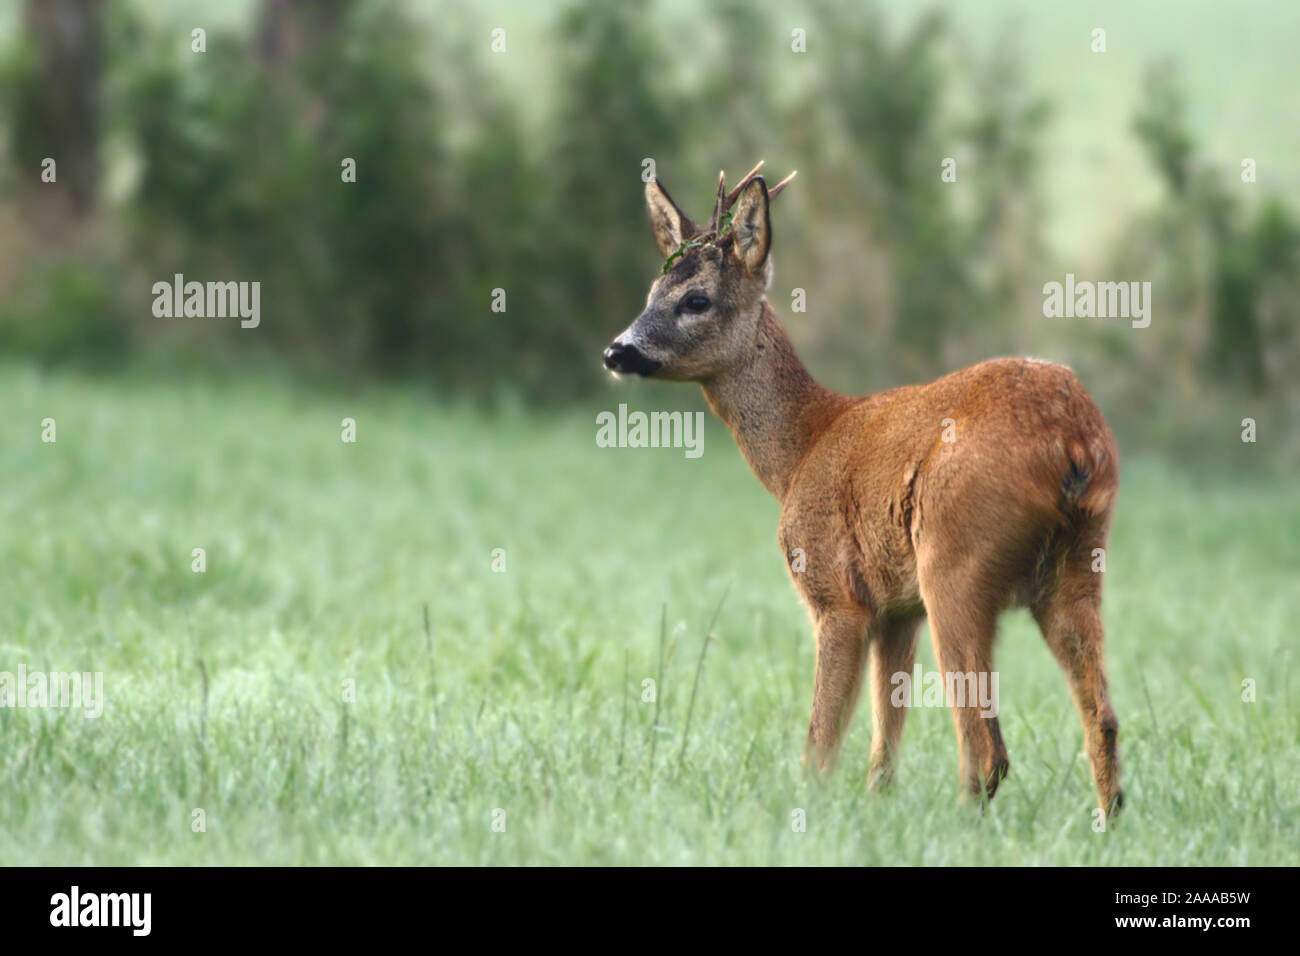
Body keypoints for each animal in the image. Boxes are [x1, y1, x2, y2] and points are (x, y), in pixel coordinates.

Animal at [603, 162, 1123, 815]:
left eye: (696, 300)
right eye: (652, 293)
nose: (616, 350)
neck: (800, 450)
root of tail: (1074, 442)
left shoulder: (836, 591)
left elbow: (820, 739)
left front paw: (807, 809)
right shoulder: (896, 609)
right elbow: (884, 737)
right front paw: (876, 808)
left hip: (955, 559)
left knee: (985, 746)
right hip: (1078, 564)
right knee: (1101, 719)